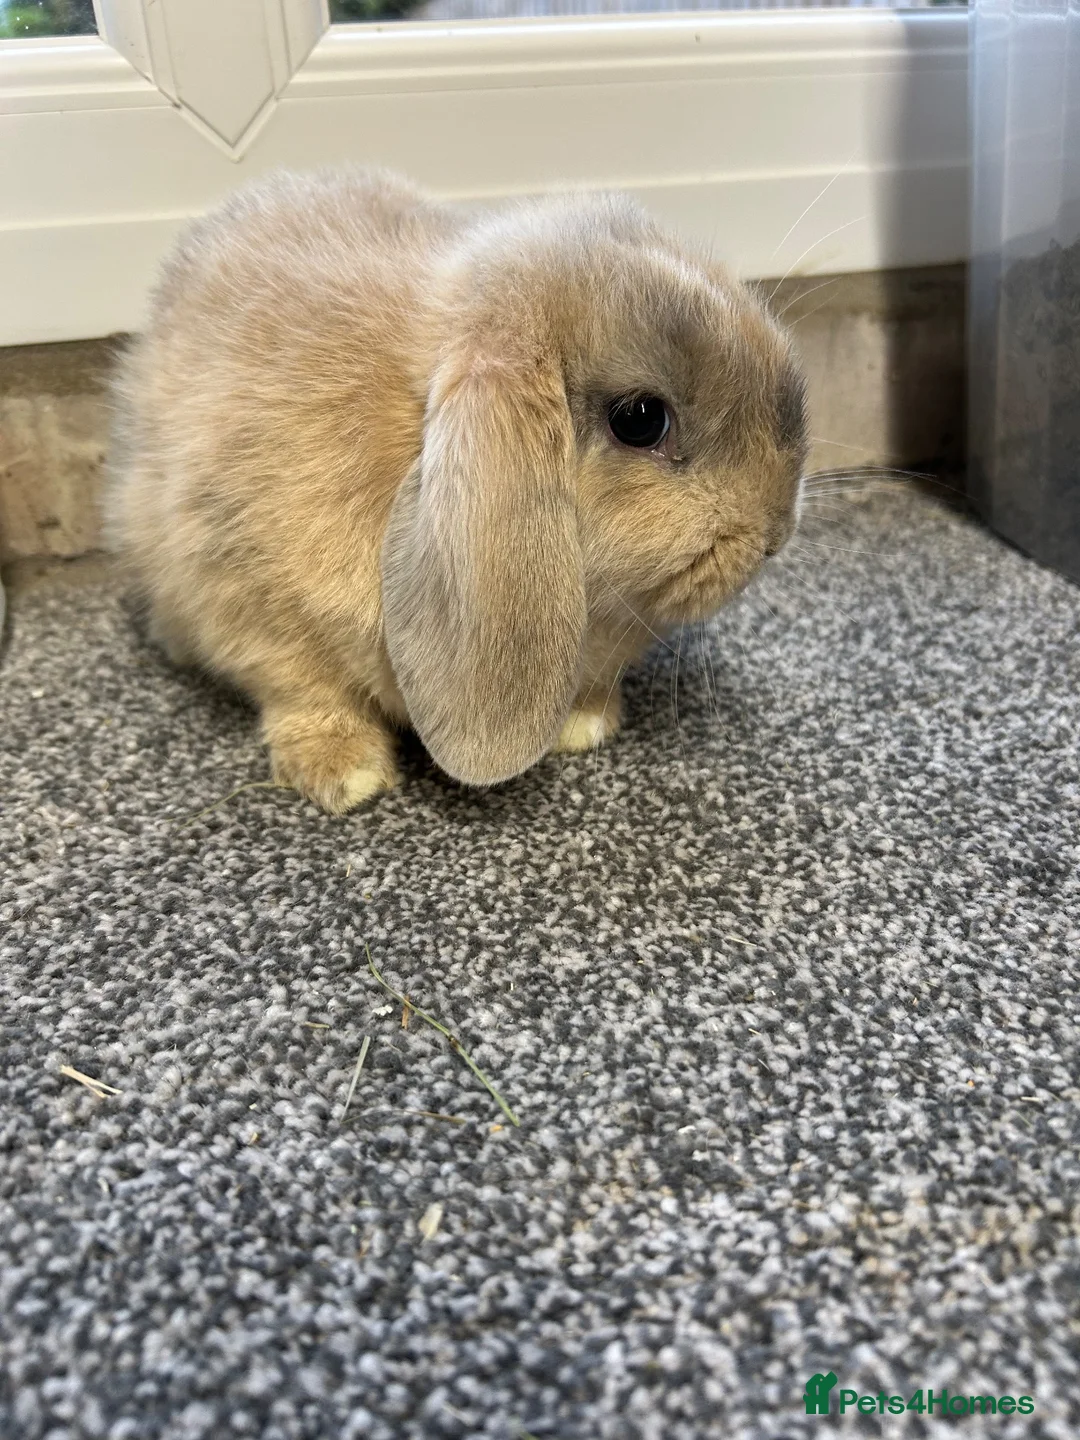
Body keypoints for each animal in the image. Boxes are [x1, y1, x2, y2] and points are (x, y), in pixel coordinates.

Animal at [104, 166, 807, 814]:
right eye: (640, 419)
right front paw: (347, 775)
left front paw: (585, 724)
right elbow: (303, 690)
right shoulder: (242, 592)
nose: (776, 532)